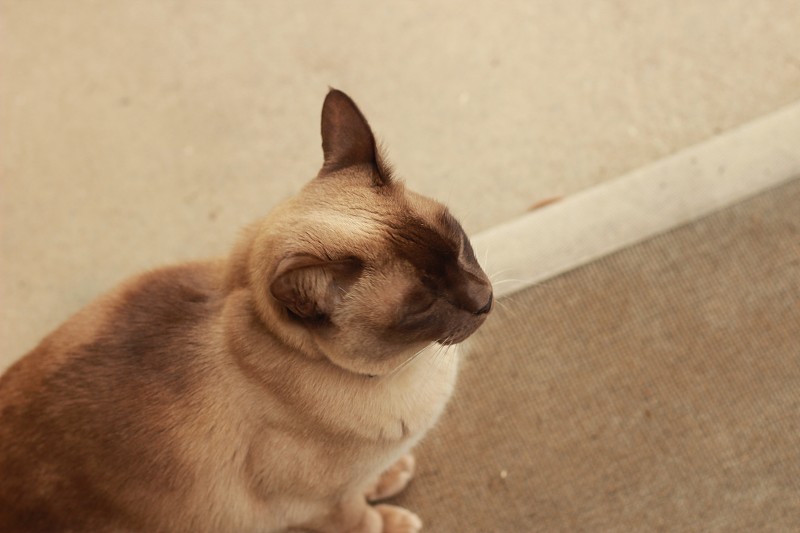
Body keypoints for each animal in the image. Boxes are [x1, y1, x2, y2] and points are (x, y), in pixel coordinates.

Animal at [0, 89, 490, 528]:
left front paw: (389, 476)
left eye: (458, 243)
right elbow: (363, 520)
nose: (484, 299)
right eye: (421, 306)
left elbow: (368, 485)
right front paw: (393, 519)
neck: (410, 371)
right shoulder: (321, 506)